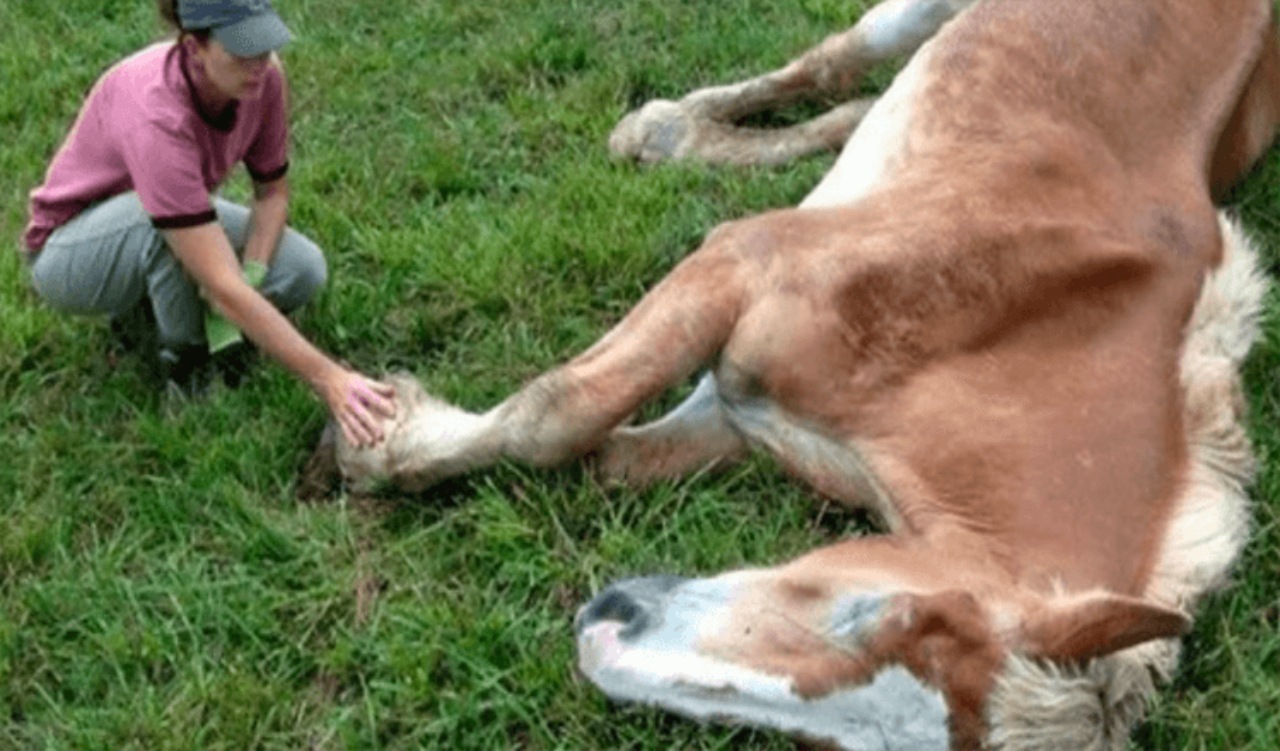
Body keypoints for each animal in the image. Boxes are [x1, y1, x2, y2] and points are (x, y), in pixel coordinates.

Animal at [304, 0, 1274, 747]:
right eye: (879, 616)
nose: (601, 633)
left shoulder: (737, 413)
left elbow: (597, 455)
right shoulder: (742, 263)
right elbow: (558, 414)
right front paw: (374, 441)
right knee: (829, 63)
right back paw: (654, 128)